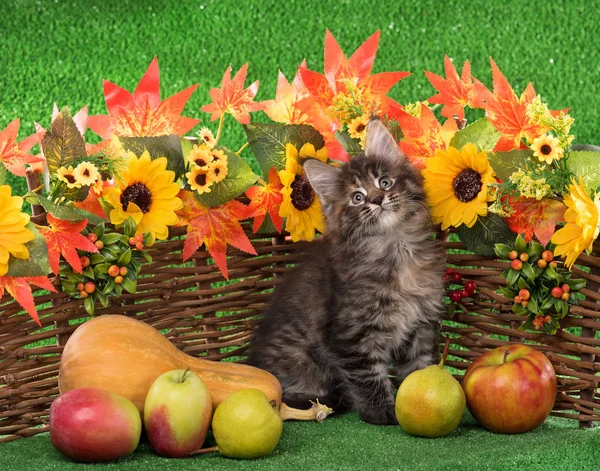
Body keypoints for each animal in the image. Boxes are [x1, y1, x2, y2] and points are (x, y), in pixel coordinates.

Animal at [245, 120, 446, 426]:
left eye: (384, 182)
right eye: (357, 198)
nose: (377, 199)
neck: (396, 249)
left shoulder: (420, 325)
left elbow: (419, 367)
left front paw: (420, 393)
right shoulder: (351, 334)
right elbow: (368, 375)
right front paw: (382, 411)